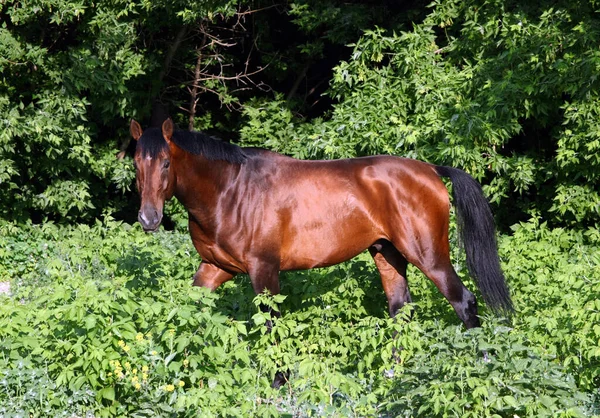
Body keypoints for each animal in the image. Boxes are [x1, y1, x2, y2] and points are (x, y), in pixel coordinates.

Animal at [130, 119, 510, 332]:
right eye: (135, 162)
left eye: (166, 163)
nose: (149, 218)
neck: (231, 189)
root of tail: (430, 170)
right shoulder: (214, 268)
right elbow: (189, 309)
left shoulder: (264, 271)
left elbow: (271, 325)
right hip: (388, 255)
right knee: (400, 312)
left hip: (429, 257)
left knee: (464, 302)